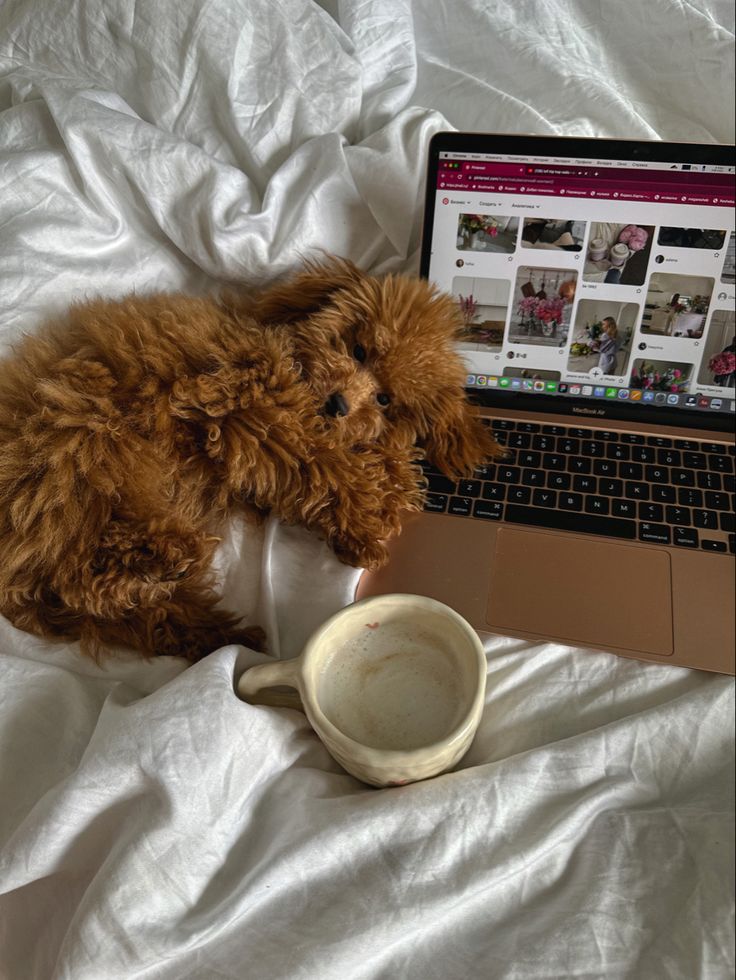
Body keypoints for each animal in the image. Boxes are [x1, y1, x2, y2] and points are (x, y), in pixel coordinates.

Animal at [0, 256, 500, 664]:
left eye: (384, 399)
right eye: (358, 350)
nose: (337, 405)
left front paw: (392, 480)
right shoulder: (247, 409)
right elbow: (323, 463)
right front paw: (368, 519)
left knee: (121, 604)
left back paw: (213, 626)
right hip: (87, 450)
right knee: (77, 574)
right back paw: (163, 557)